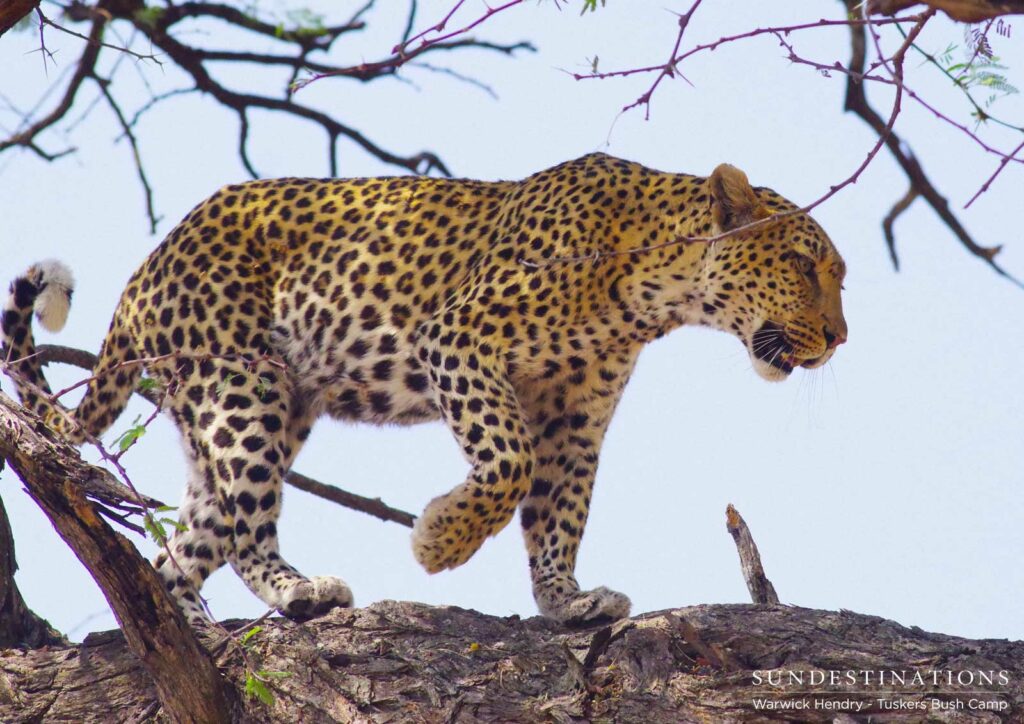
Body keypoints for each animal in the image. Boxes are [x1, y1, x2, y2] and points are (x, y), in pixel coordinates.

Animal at [2, 153, 847, 626]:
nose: (840, 337)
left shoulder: (574, 417)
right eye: (805, 265)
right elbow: (506, 464)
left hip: (246, 410)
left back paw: (190, 631)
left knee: (183, 546)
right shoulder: (458, 339)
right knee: (244, 529)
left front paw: (566, 600)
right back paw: (298, 591)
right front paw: (441, 540)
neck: (653, 290)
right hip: (245, 387)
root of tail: (149, 265)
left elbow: (558, 510)